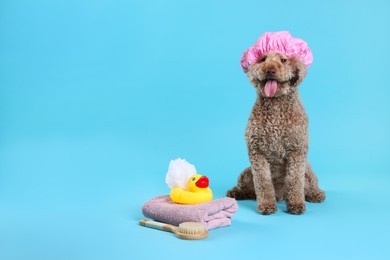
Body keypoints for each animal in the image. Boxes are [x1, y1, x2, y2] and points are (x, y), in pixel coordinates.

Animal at [227, 50, 324, 213]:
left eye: (283, 60)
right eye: (262, 59)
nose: (270, 70)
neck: (276, 106)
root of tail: (280, 195)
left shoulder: (297, 152)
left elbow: (295, 180)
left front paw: (296, 204)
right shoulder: (257, 152)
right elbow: (263, 182)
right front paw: (266, 205)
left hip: (308, 171)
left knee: (310, 184)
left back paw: (316, 194)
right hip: (246, 172)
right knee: (250, 189)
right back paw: (237, 192)